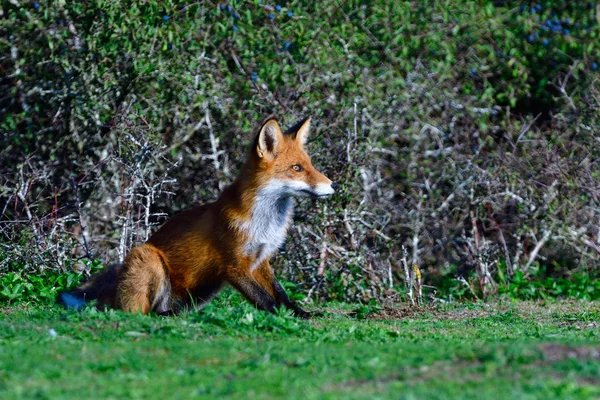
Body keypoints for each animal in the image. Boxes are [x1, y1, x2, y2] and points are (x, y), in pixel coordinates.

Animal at [59, 116, 338, 318]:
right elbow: (266, 300)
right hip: (149, 258)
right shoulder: (234, 265)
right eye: (297, 168)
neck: (265, 223)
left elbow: (282, 295)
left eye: (309, 165)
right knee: (136, 313)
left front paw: (302, 314)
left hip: (204, 290)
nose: (333, 185)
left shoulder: (261, 260)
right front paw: (285, 317)